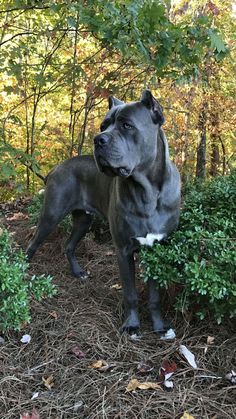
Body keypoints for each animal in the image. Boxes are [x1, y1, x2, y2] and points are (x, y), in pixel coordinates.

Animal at [26, 90, 181, 340]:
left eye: (127, 125)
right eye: (103, 126)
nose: (98, 139)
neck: (147, 191)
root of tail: (56, 168)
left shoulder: (158, 250)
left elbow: (155, 295)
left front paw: (159, 326)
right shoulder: (123, 250)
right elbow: (130, 293)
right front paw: (132, 325)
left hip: (83, 219)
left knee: (69, 245)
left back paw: (78, 272)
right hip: (51, 214)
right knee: (33, 242)